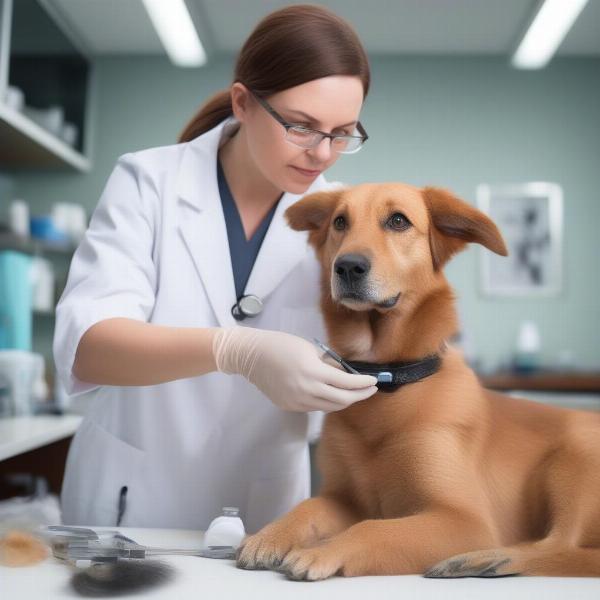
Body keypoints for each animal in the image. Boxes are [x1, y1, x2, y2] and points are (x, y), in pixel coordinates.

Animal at [234, 183, 600, 580]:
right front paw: (270, 534)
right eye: (339, 222)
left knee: (561, 547)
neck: (387, 380)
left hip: (575, 460)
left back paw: (484, 559)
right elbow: (309, 507)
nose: (347, 266)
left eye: (398, 221)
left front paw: (322, 550)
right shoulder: (345, 499)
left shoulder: (463, 519)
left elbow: (371, 528)